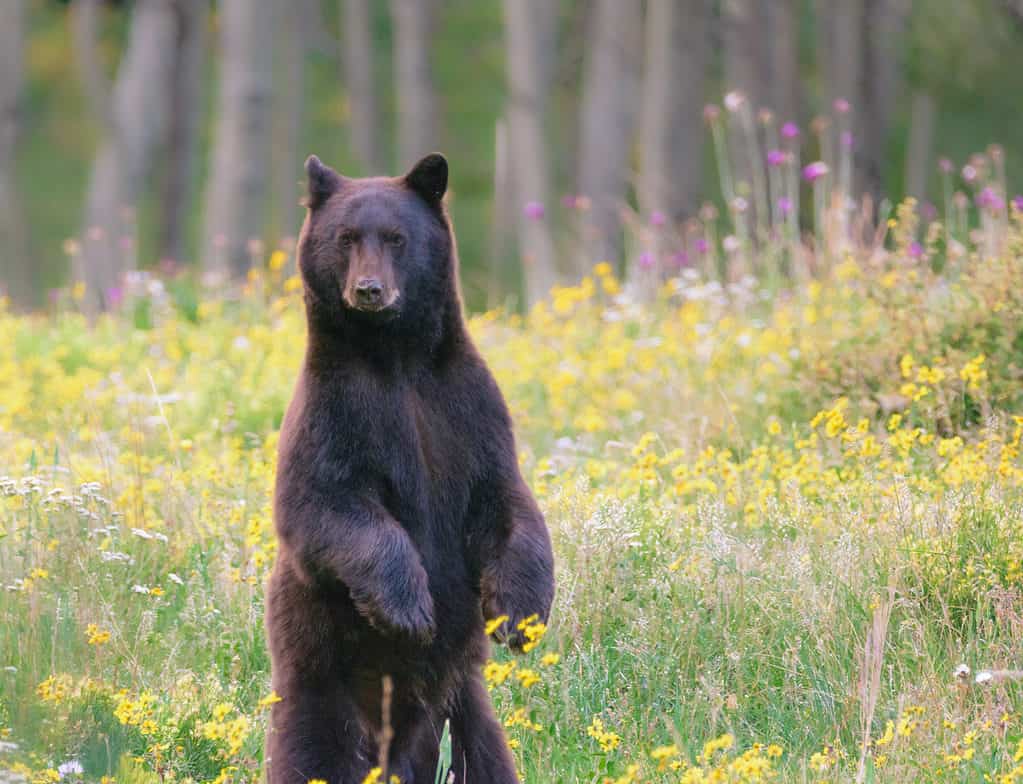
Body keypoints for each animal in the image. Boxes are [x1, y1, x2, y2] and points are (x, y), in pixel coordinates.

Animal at [263, 153, 552, 784]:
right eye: (346, 237)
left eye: (396, 237)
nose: (369, 290)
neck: (395, 358)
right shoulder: (337, 411)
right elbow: (325, 505)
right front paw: (410, 609)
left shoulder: (464, 408)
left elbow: (506, 500)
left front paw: (520, 616)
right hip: (322, 694)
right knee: (311, 757)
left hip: (465, 712)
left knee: (487, 761)